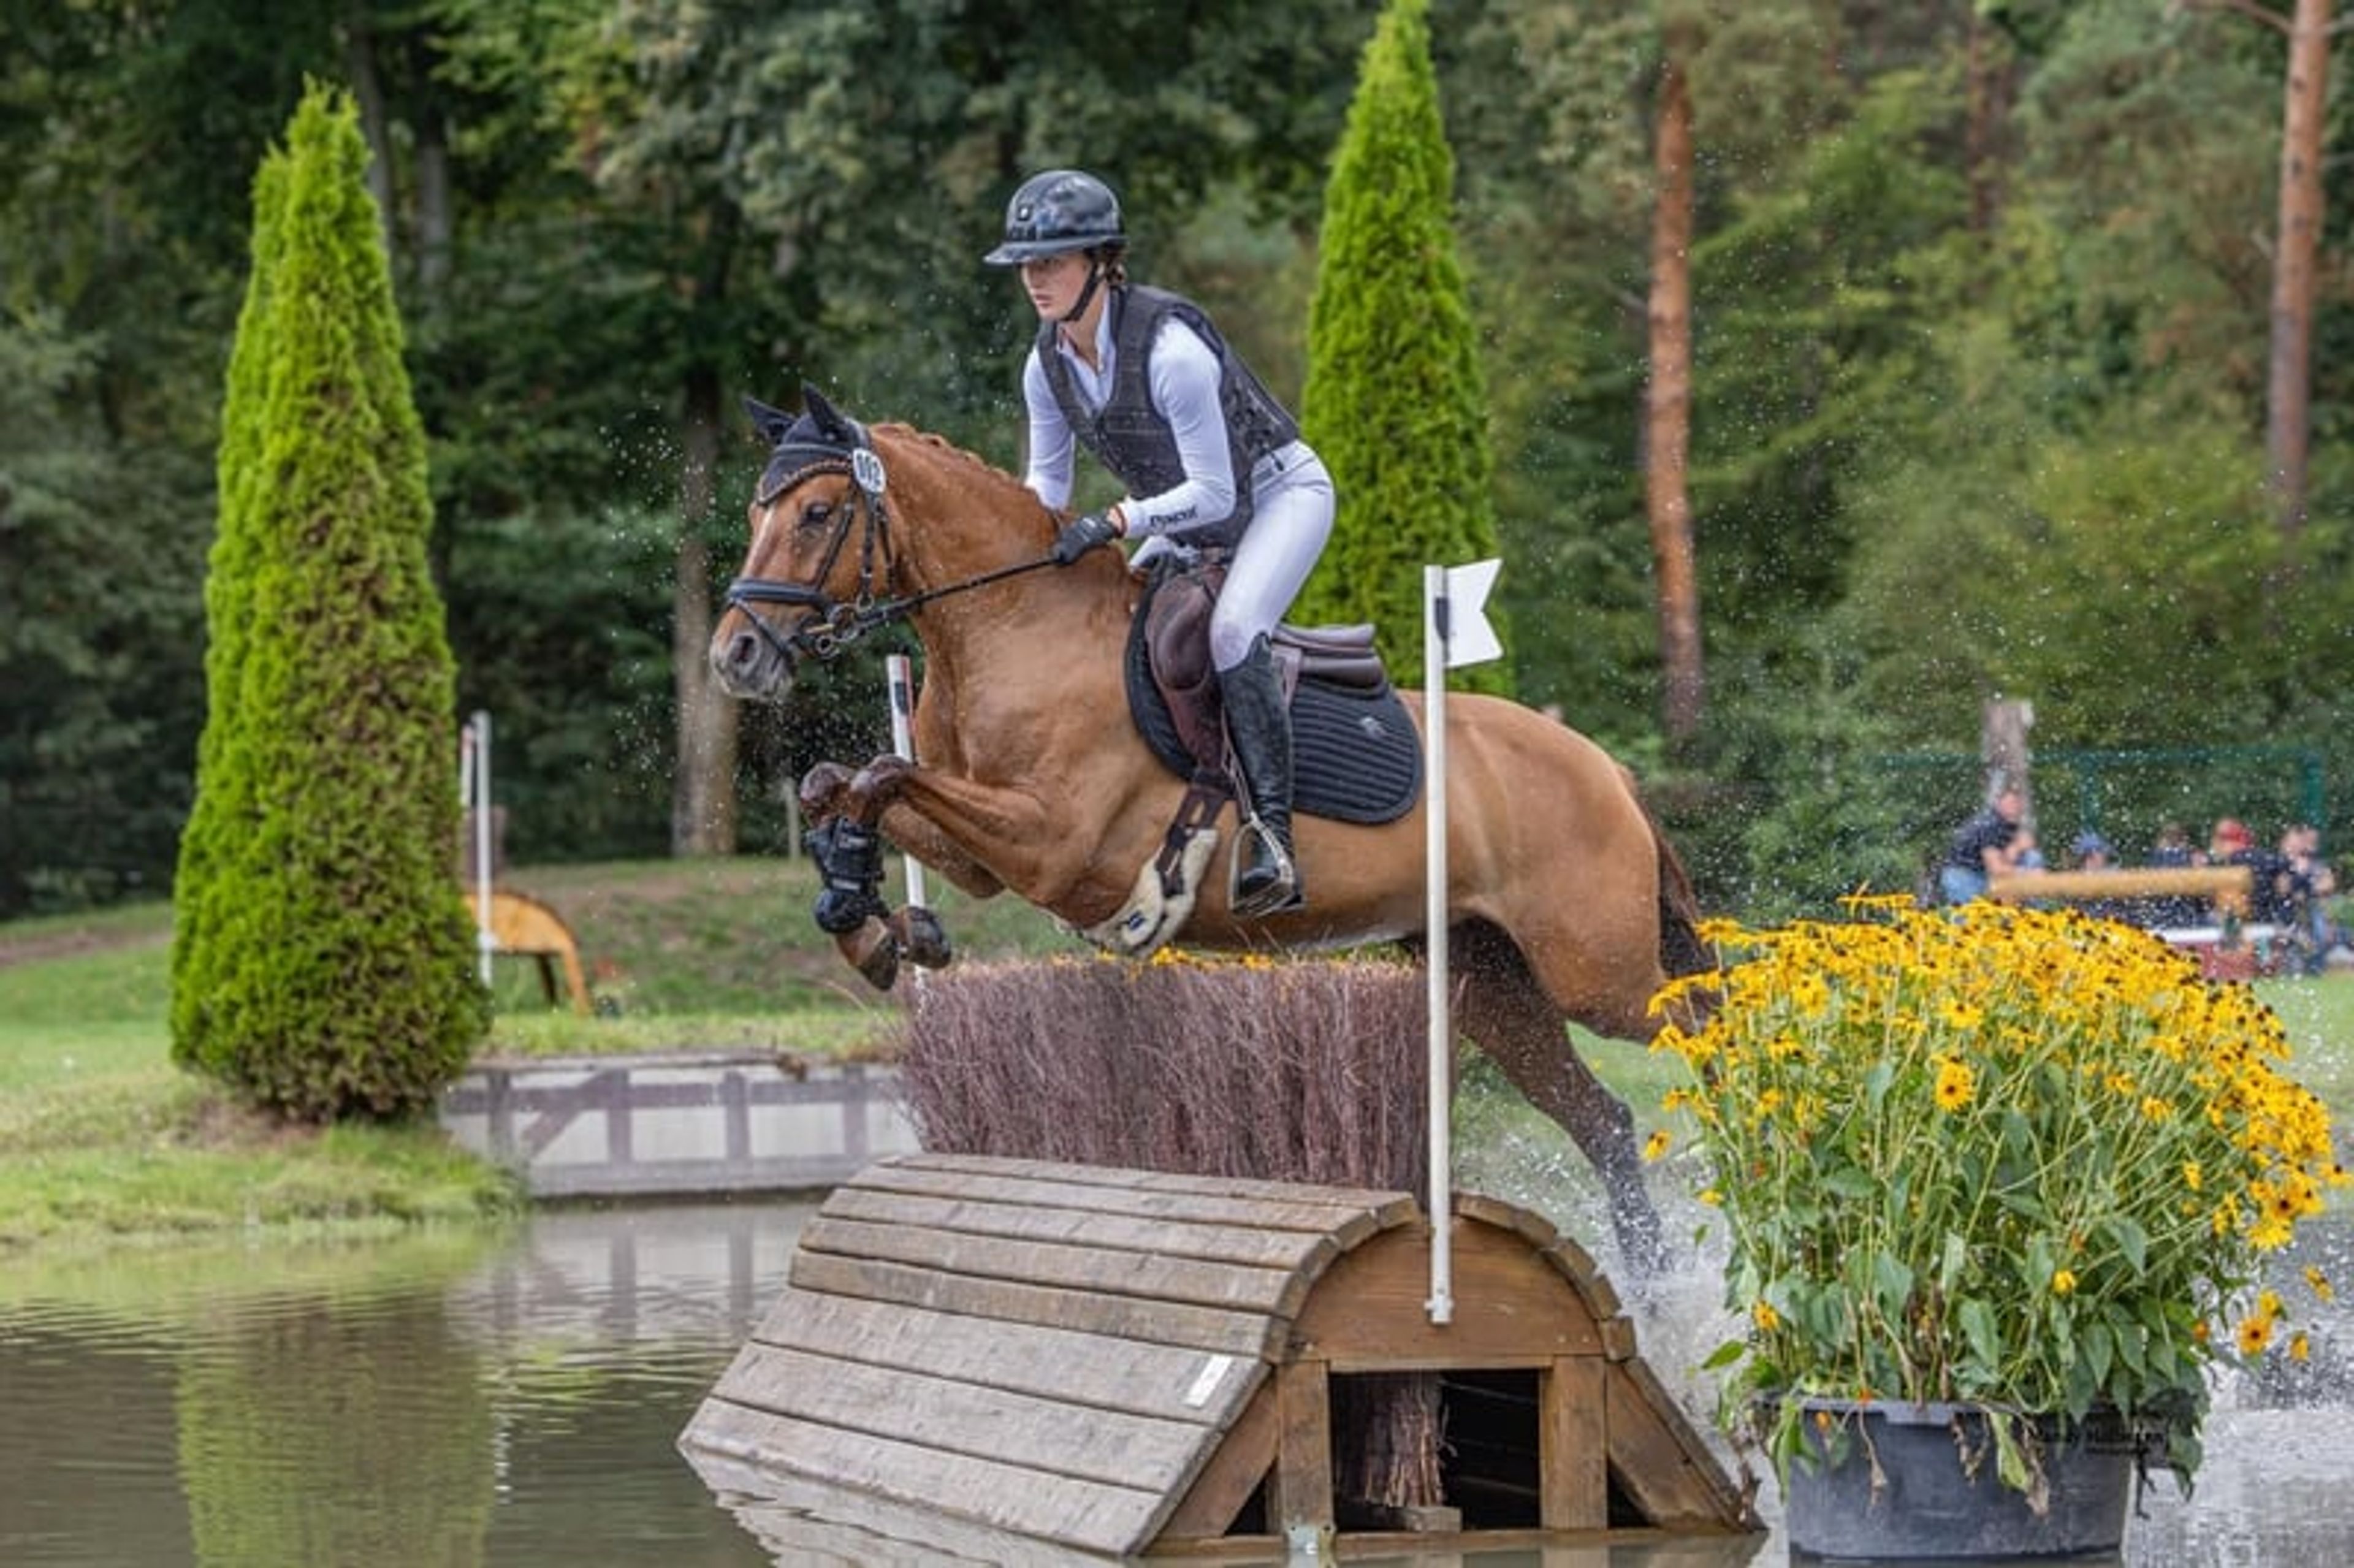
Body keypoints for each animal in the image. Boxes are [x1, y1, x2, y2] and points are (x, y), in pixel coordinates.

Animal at [709, 388, 1710, 1271]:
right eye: (762, 510)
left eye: (818, 513)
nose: (736, 655)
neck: (1013, 628)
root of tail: (1609, 772)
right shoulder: (983, 851)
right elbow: (839, 783)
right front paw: (875, 924)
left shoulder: (1052, 844)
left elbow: (882, 773)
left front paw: (877, 920)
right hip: (1491, 979)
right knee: (1604, 1121)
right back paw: (1657, 1296)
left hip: (1599, 975)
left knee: (1711, 1020)